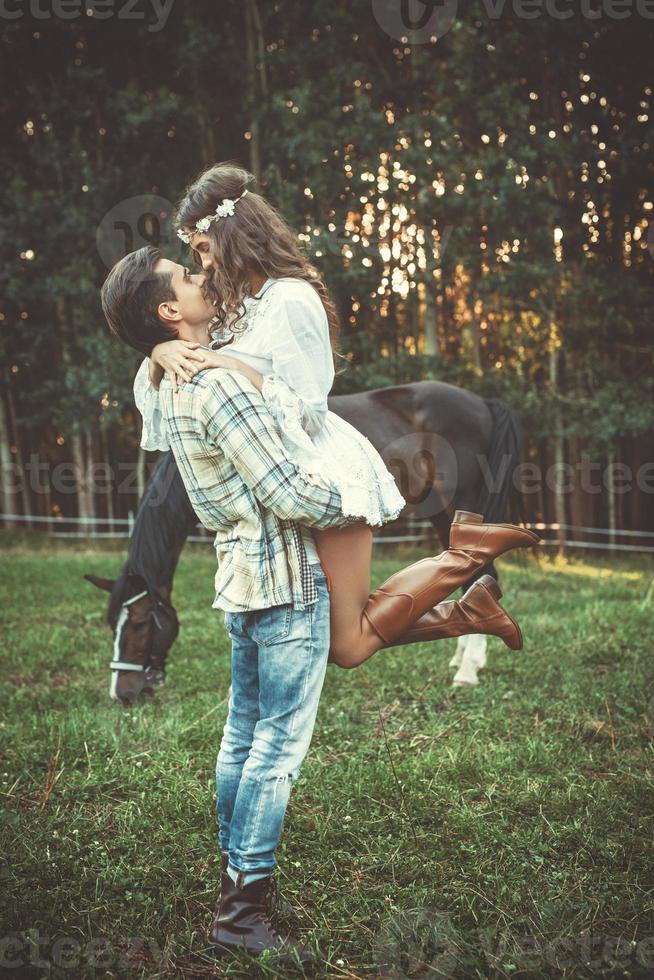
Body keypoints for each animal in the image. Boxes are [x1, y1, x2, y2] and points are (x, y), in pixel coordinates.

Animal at [86, 378, 528, 704]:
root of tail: (483, 403)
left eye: (139, 624)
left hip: (461, 502)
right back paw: (464, 658)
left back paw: (468, 671)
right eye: (110, 624)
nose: (122, 694)